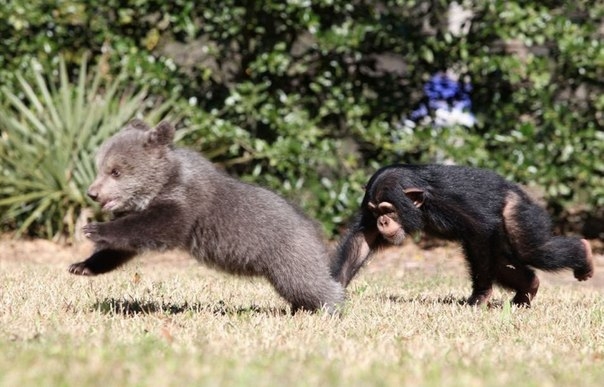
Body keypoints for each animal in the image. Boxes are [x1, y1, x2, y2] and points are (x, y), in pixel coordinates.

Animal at [332, 165, 596, 308]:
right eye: (376, 212)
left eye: (388, 210)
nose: (382, 221)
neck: (422, 202)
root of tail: (520, 191)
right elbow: (362, 240)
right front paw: (333, 289)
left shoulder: (452, 201)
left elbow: (480, 231)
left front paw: (480, 296)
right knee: (504, 261)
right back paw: (527, 289)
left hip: (519, 212)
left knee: (531, 250)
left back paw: (584, 254)